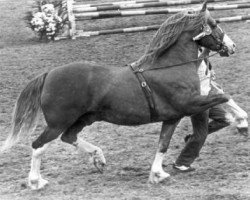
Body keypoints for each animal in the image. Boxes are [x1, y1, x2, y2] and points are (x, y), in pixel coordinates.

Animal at [0, 1, 236, 189]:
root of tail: (48, 74)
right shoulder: (190, 105)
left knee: (68, 137)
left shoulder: (172, 117)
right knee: (38, 145)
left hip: (84, 119)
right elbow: (224, 100)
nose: (231, 46)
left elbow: (163, 144)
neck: (170, 67)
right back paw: (36, 182)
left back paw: (98, 158)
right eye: (214, 24)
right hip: (58, 122)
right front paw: (236, 122)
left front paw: (158, 174)